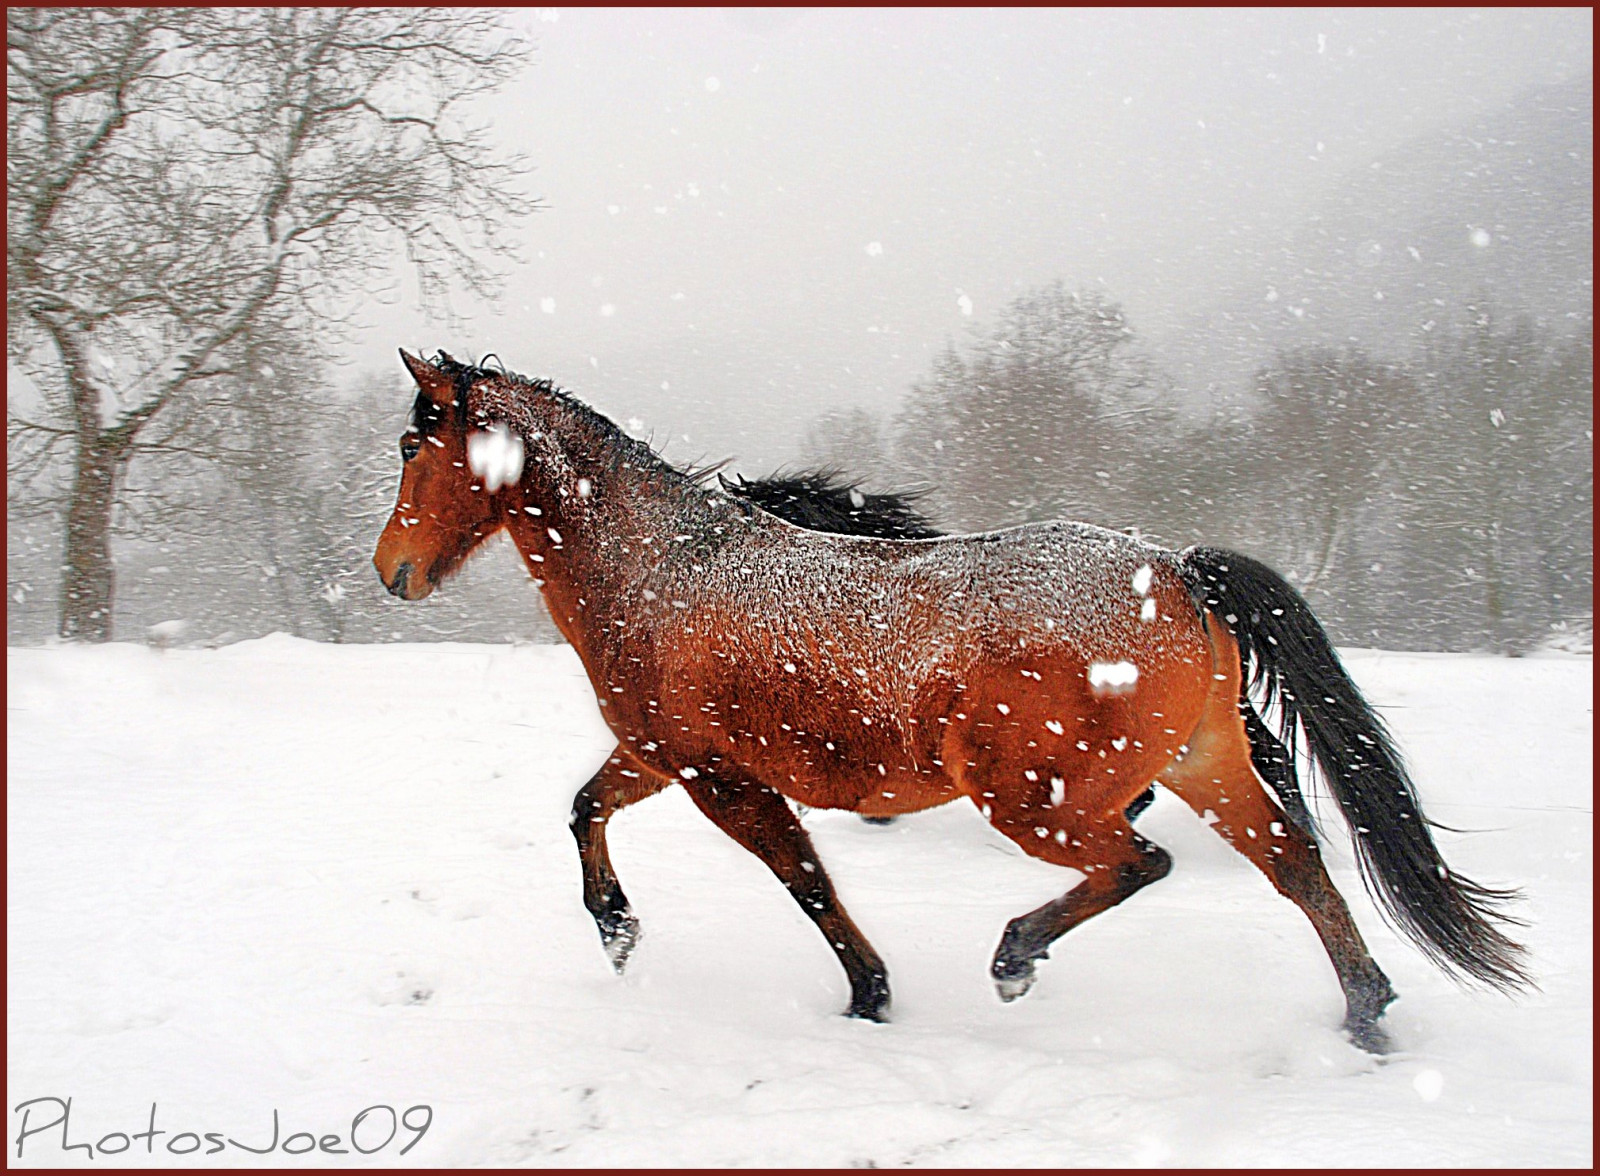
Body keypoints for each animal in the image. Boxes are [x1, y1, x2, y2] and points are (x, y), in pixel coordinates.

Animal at [373, 350, 1530, 1054]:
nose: (390, 571)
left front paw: (869, 994)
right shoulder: (665, 757)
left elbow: (807, 884)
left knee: (1139, 863)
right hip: (1201, 765)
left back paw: (1017, 956)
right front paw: (617, 931)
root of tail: (1174, 567)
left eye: (414, 444)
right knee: (1294, 861)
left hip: (1040, 801)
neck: (661, 571)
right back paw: (1368, 1014)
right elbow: (584, 810)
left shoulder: (721, 779)